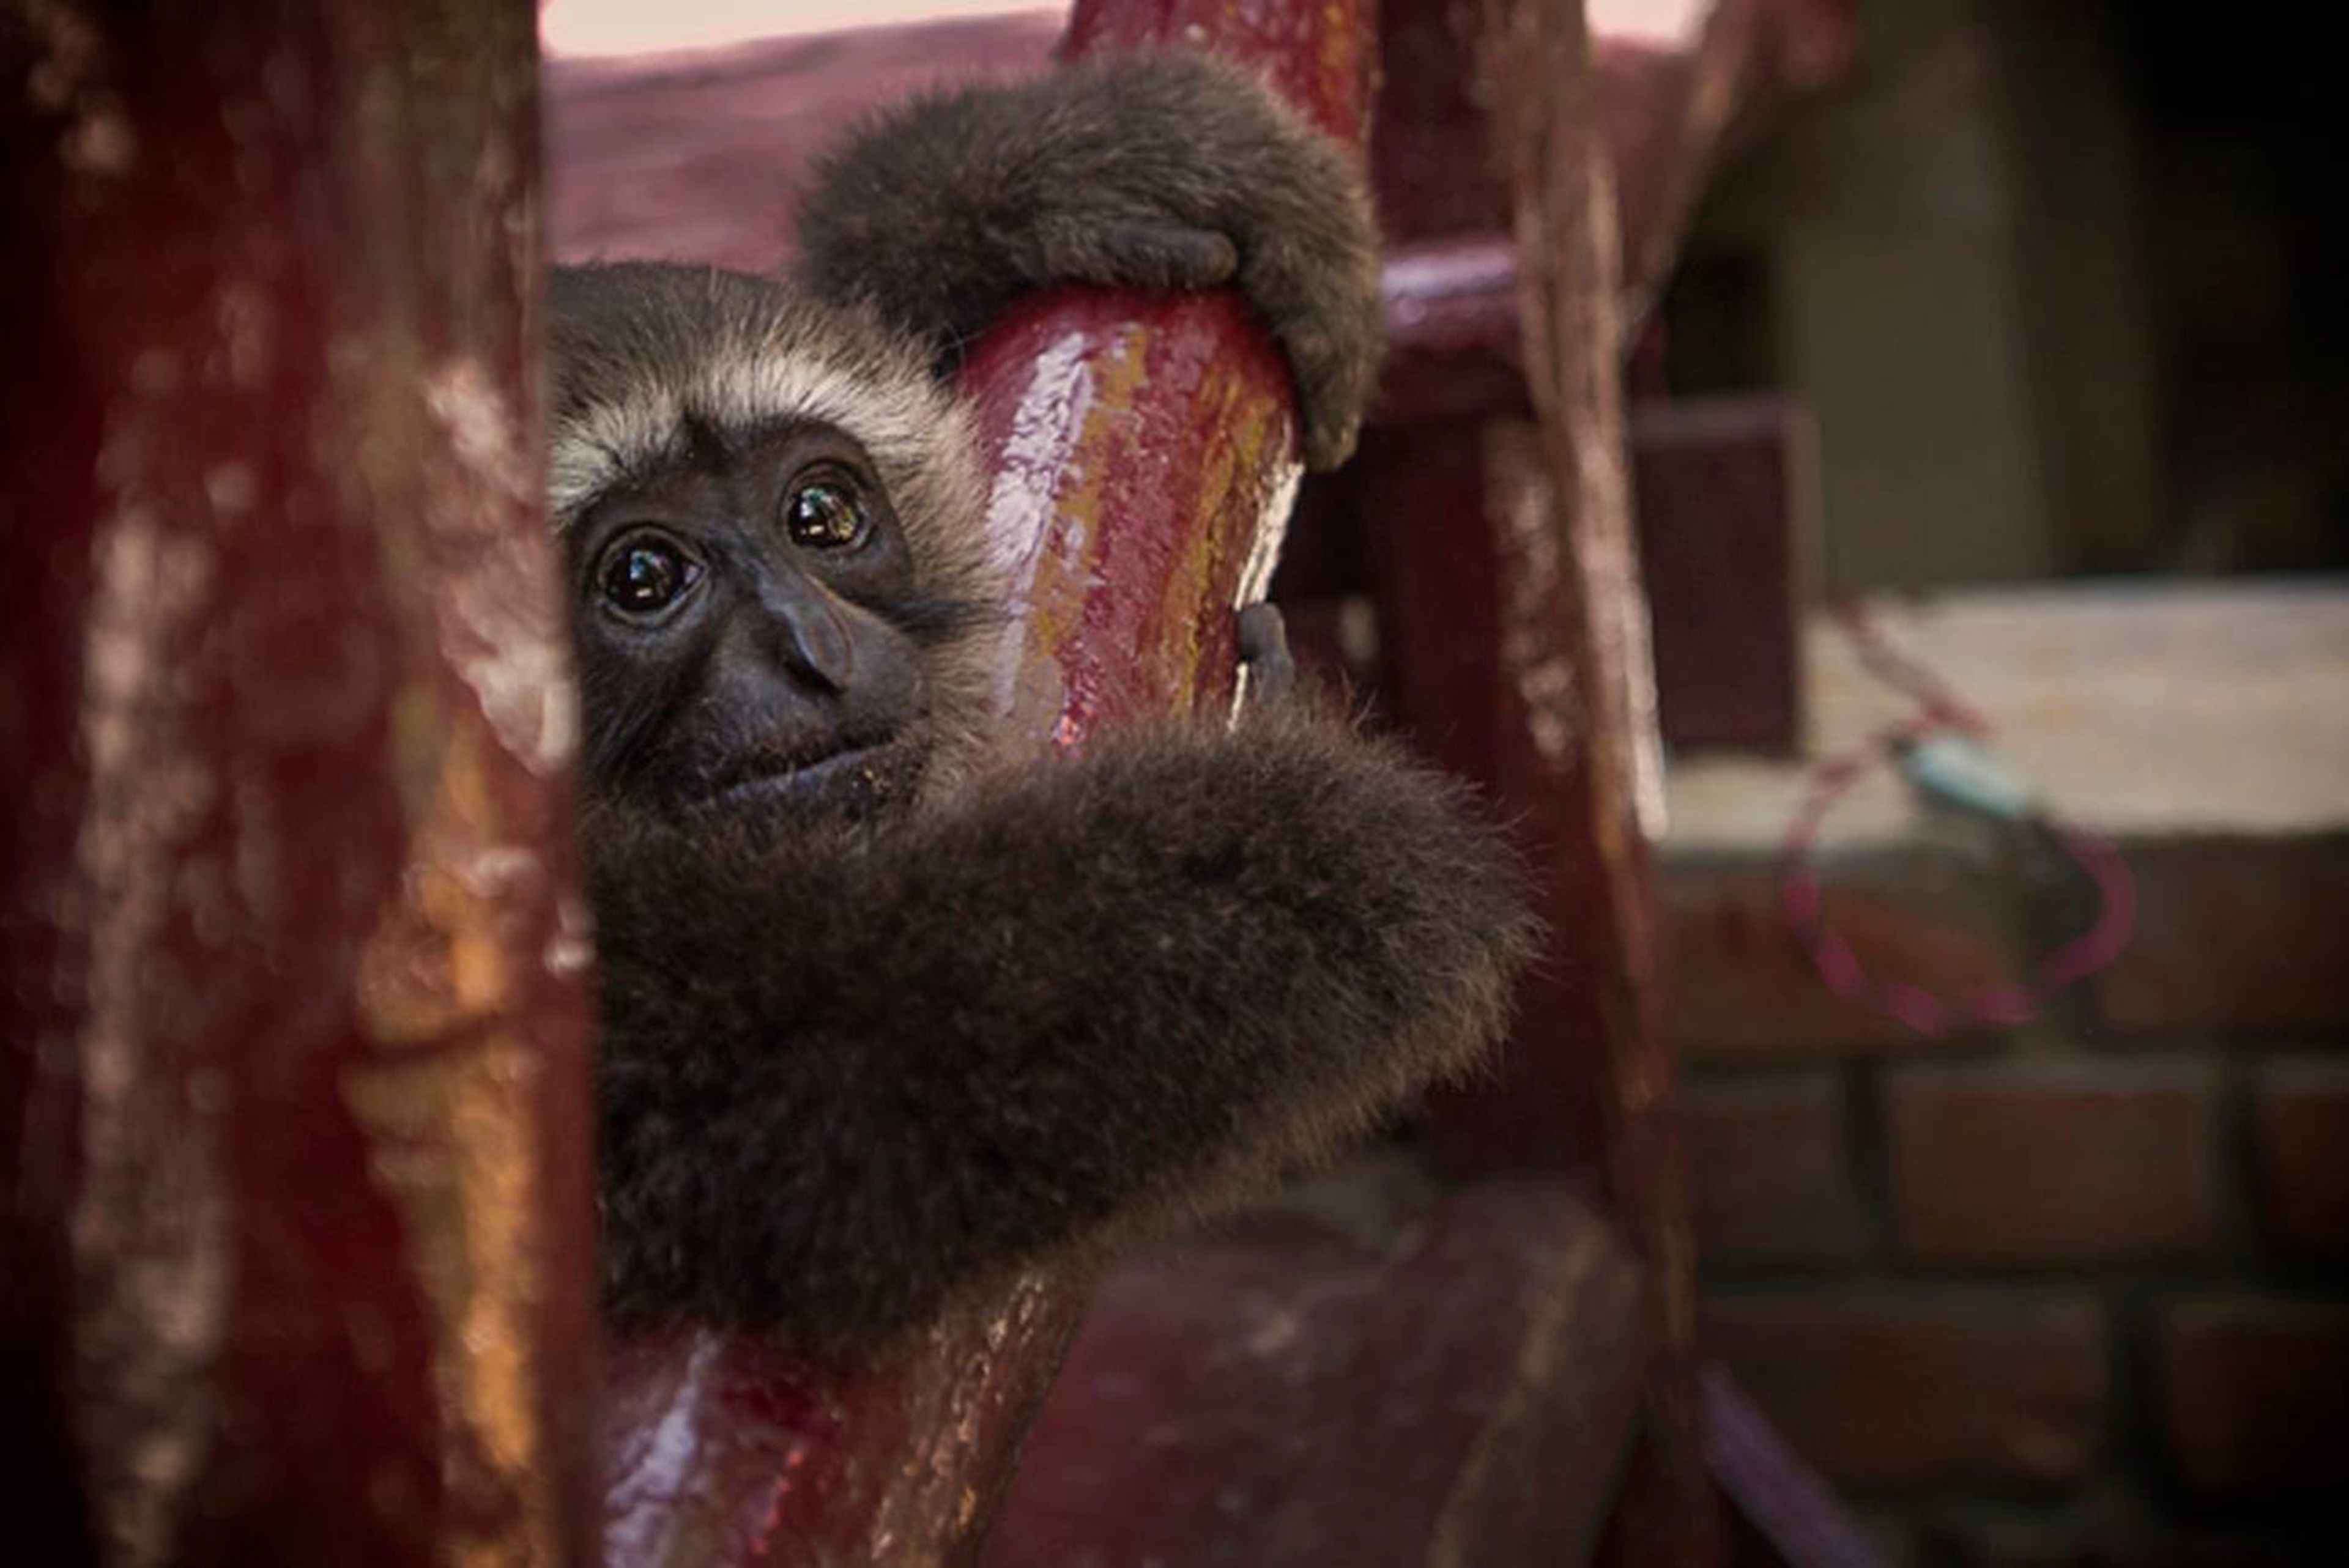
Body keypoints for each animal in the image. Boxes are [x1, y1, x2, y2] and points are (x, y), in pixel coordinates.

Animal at [555, 52, 1535, 1353]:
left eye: (821, 514)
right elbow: (827, 1064)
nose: (816, 649)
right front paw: (1323, 823)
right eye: (641, 578)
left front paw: (1012, 186)